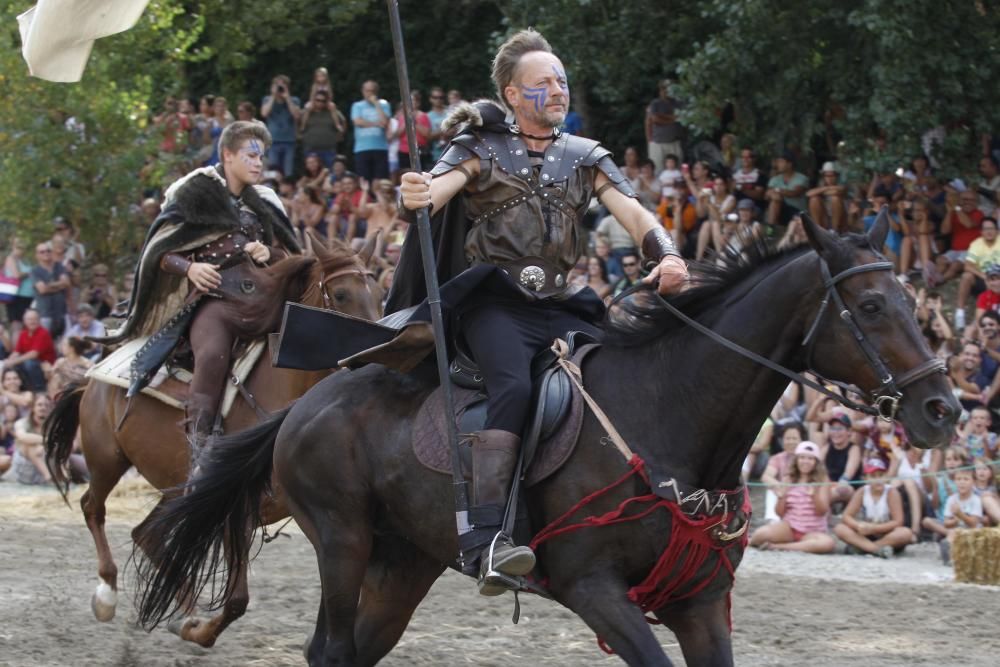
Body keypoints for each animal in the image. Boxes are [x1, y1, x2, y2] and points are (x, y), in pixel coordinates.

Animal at [42, 237, 382, 648]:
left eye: (379, 293)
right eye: (341, 294)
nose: (373, 357)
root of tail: (91, 378)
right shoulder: (236, 514)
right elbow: (236, 600)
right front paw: (198, 630)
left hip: (174, 487)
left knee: (146, 533)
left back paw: (183, 610)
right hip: (106, 459)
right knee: (93, 507)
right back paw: (108, 595)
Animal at [135, 215, 960, 667]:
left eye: (914, 298)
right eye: (872, 305)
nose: (943, 408)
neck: (672, 414)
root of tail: (312, 400)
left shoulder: (699, 602)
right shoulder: (596, 591)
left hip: (402, 562)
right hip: (343, 541)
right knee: (332, 648)